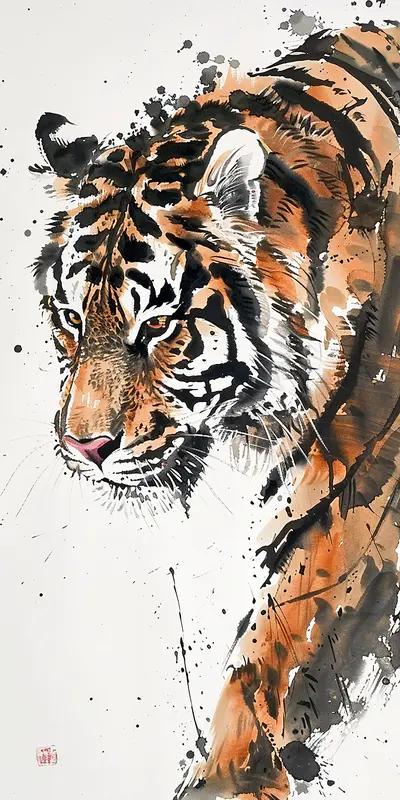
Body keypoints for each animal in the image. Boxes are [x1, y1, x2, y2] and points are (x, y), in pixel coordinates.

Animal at [31, 21, 400, 800]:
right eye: (70, 319)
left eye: (157, 327)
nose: (83, 448)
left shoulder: (361, 487)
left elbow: (278, 635)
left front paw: (230, 776)